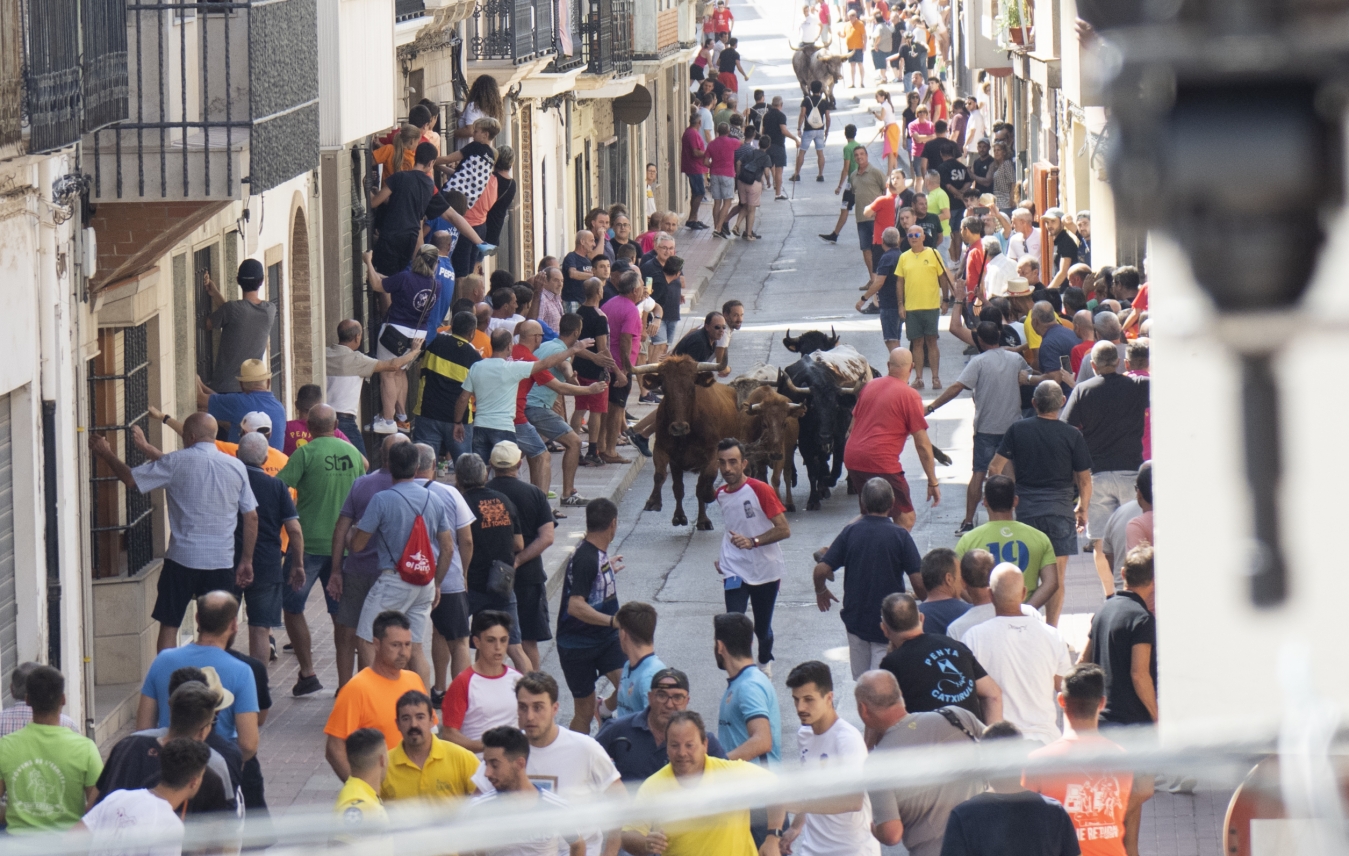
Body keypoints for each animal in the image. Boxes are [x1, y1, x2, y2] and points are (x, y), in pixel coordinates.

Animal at [636, 355, 744, 528]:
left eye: (692, 388)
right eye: (664, 388)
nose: (678, 427)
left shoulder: (712, 453)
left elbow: (706, 481)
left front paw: (709, 496)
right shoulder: (662, 449)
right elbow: (662, 476)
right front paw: (655, 502)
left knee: (700, 486)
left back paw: (703, 520)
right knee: (679, 488)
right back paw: (681, 516)